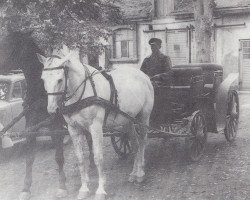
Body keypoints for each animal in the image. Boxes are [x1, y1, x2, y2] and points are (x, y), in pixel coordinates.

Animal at [0, 30, 67, 198]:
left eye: (8, 45)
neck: (41, 90)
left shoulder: (55, 125)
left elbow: (58, 156)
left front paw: (62, 186)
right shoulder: (30, 126)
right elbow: (29, 158)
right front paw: (25, 188)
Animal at [37, 46, 154, 200]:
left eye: (60, 79)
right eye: (43, 79)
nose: (51, 110)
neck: (81, 92)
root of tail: (143, 76)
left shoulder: (96, 128)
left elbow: (98, 158)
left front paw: (100, 190)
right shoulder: (74, 129)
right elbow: (80, 159)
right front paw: (84, 189)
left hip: (143, 118)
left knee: (142, 142)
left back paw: (140, 172)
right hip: (128, 121)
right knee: (135, 144)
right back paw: (134, 173)